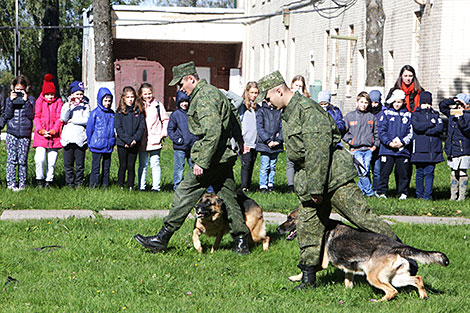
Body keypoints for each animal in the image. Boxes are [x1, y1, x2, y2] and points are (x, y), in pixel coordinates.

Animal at [278, 210, 450, 300]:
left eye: (290, 219)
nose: (278, 229)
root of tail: (396, 247)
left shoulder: (322, 263)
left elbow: (306, 269)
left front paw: (295, 278)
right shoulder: (349, 269)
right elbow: (348, 282)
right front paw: (347, 292)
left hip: (374, 277)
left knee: (392, 291)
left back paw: (378, 302)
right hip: (396, 278)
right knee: (416, 279)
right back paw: (423, 296)